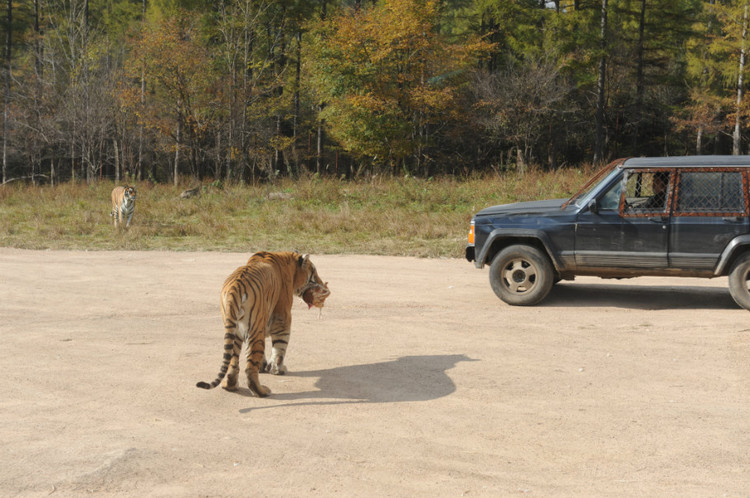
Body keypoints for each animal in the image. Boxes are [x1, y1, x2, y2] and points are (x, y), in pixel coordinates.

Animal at [198, 253, 330, 396]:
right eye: (314, 272)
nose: (323, 285)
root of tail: (235, 286)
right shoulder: (282, 317)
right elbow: (280, 347)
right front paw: (278, 370)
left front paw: (264, 367)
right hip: (254, 329)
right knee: (250, 368)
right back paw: (262, 391)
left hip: (234, 330)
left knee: (233, 362)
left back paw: (230, 386)